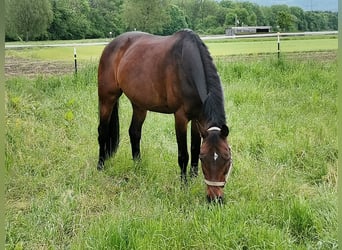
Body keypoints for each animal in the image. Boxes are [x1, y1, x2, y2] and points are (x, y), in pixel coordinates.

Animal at [96, 29, 232, 202]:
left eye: (226, 158)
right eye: (205, 159)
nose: (215, 199)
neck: (188, 66)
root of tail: (111, 45)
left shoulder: (198, 118)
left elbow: (194, 148)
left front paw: (193, 178)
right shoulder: (180, 117)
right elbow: (184, 154)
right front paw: (184, 185)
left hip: (139, 104)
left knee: (134, 132)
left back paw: (138, 166)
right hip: (107, 98)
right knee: (102, 132)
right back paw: (100, 166)